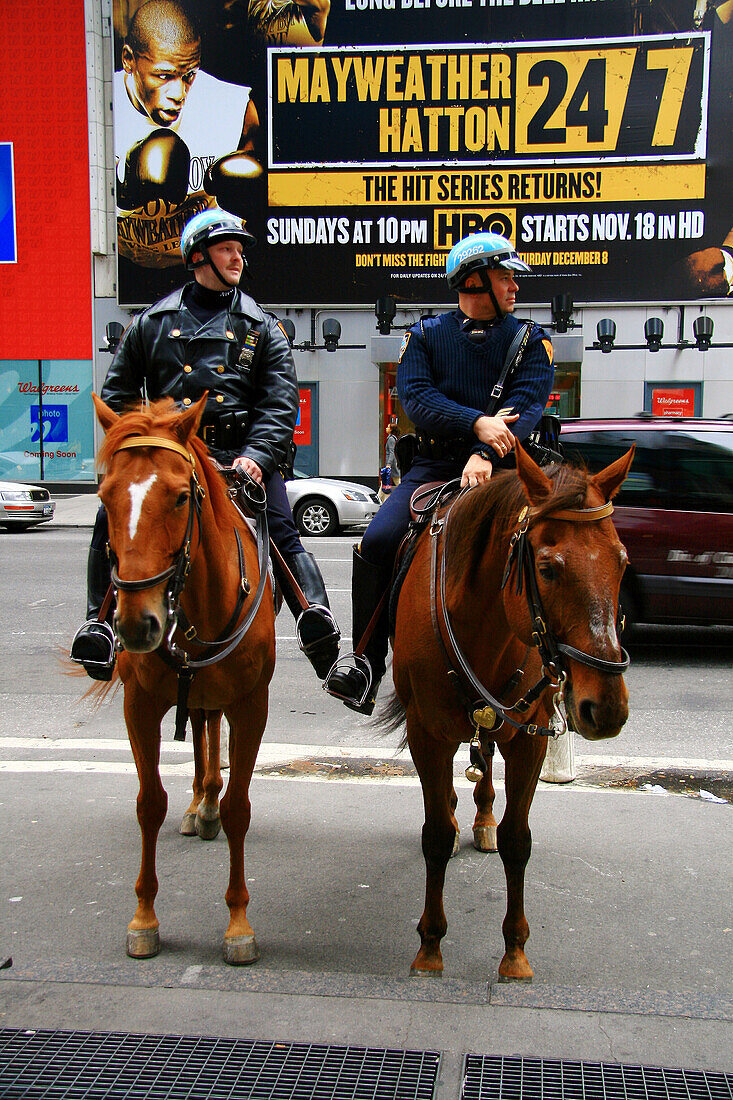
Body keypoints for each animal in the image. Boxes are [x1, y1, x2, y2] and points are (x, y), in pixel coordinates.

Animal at [91, 393, 274, 963]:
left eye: (177, 498)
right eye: (104, 496)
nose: (135, 624)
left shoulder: (251, 706)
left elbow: (240, 808)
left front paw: (238, 923)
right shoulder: (140, 706)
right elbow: (149, 804)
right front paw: (144, 918)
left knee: (208, 730)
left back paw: (208, 804)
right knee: (199, 728)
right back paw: (199, 804)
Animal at [391, 437, 629, 981]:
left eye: (623, 561)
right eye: (547, 568)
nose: (606, 709)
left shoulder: (528, 737)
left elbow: (518, 839)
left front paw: (515, 952)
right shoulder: (426, 734)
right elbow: (435, 836)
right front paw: (430, 946)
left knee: (486, 764)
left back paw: (480, 819)